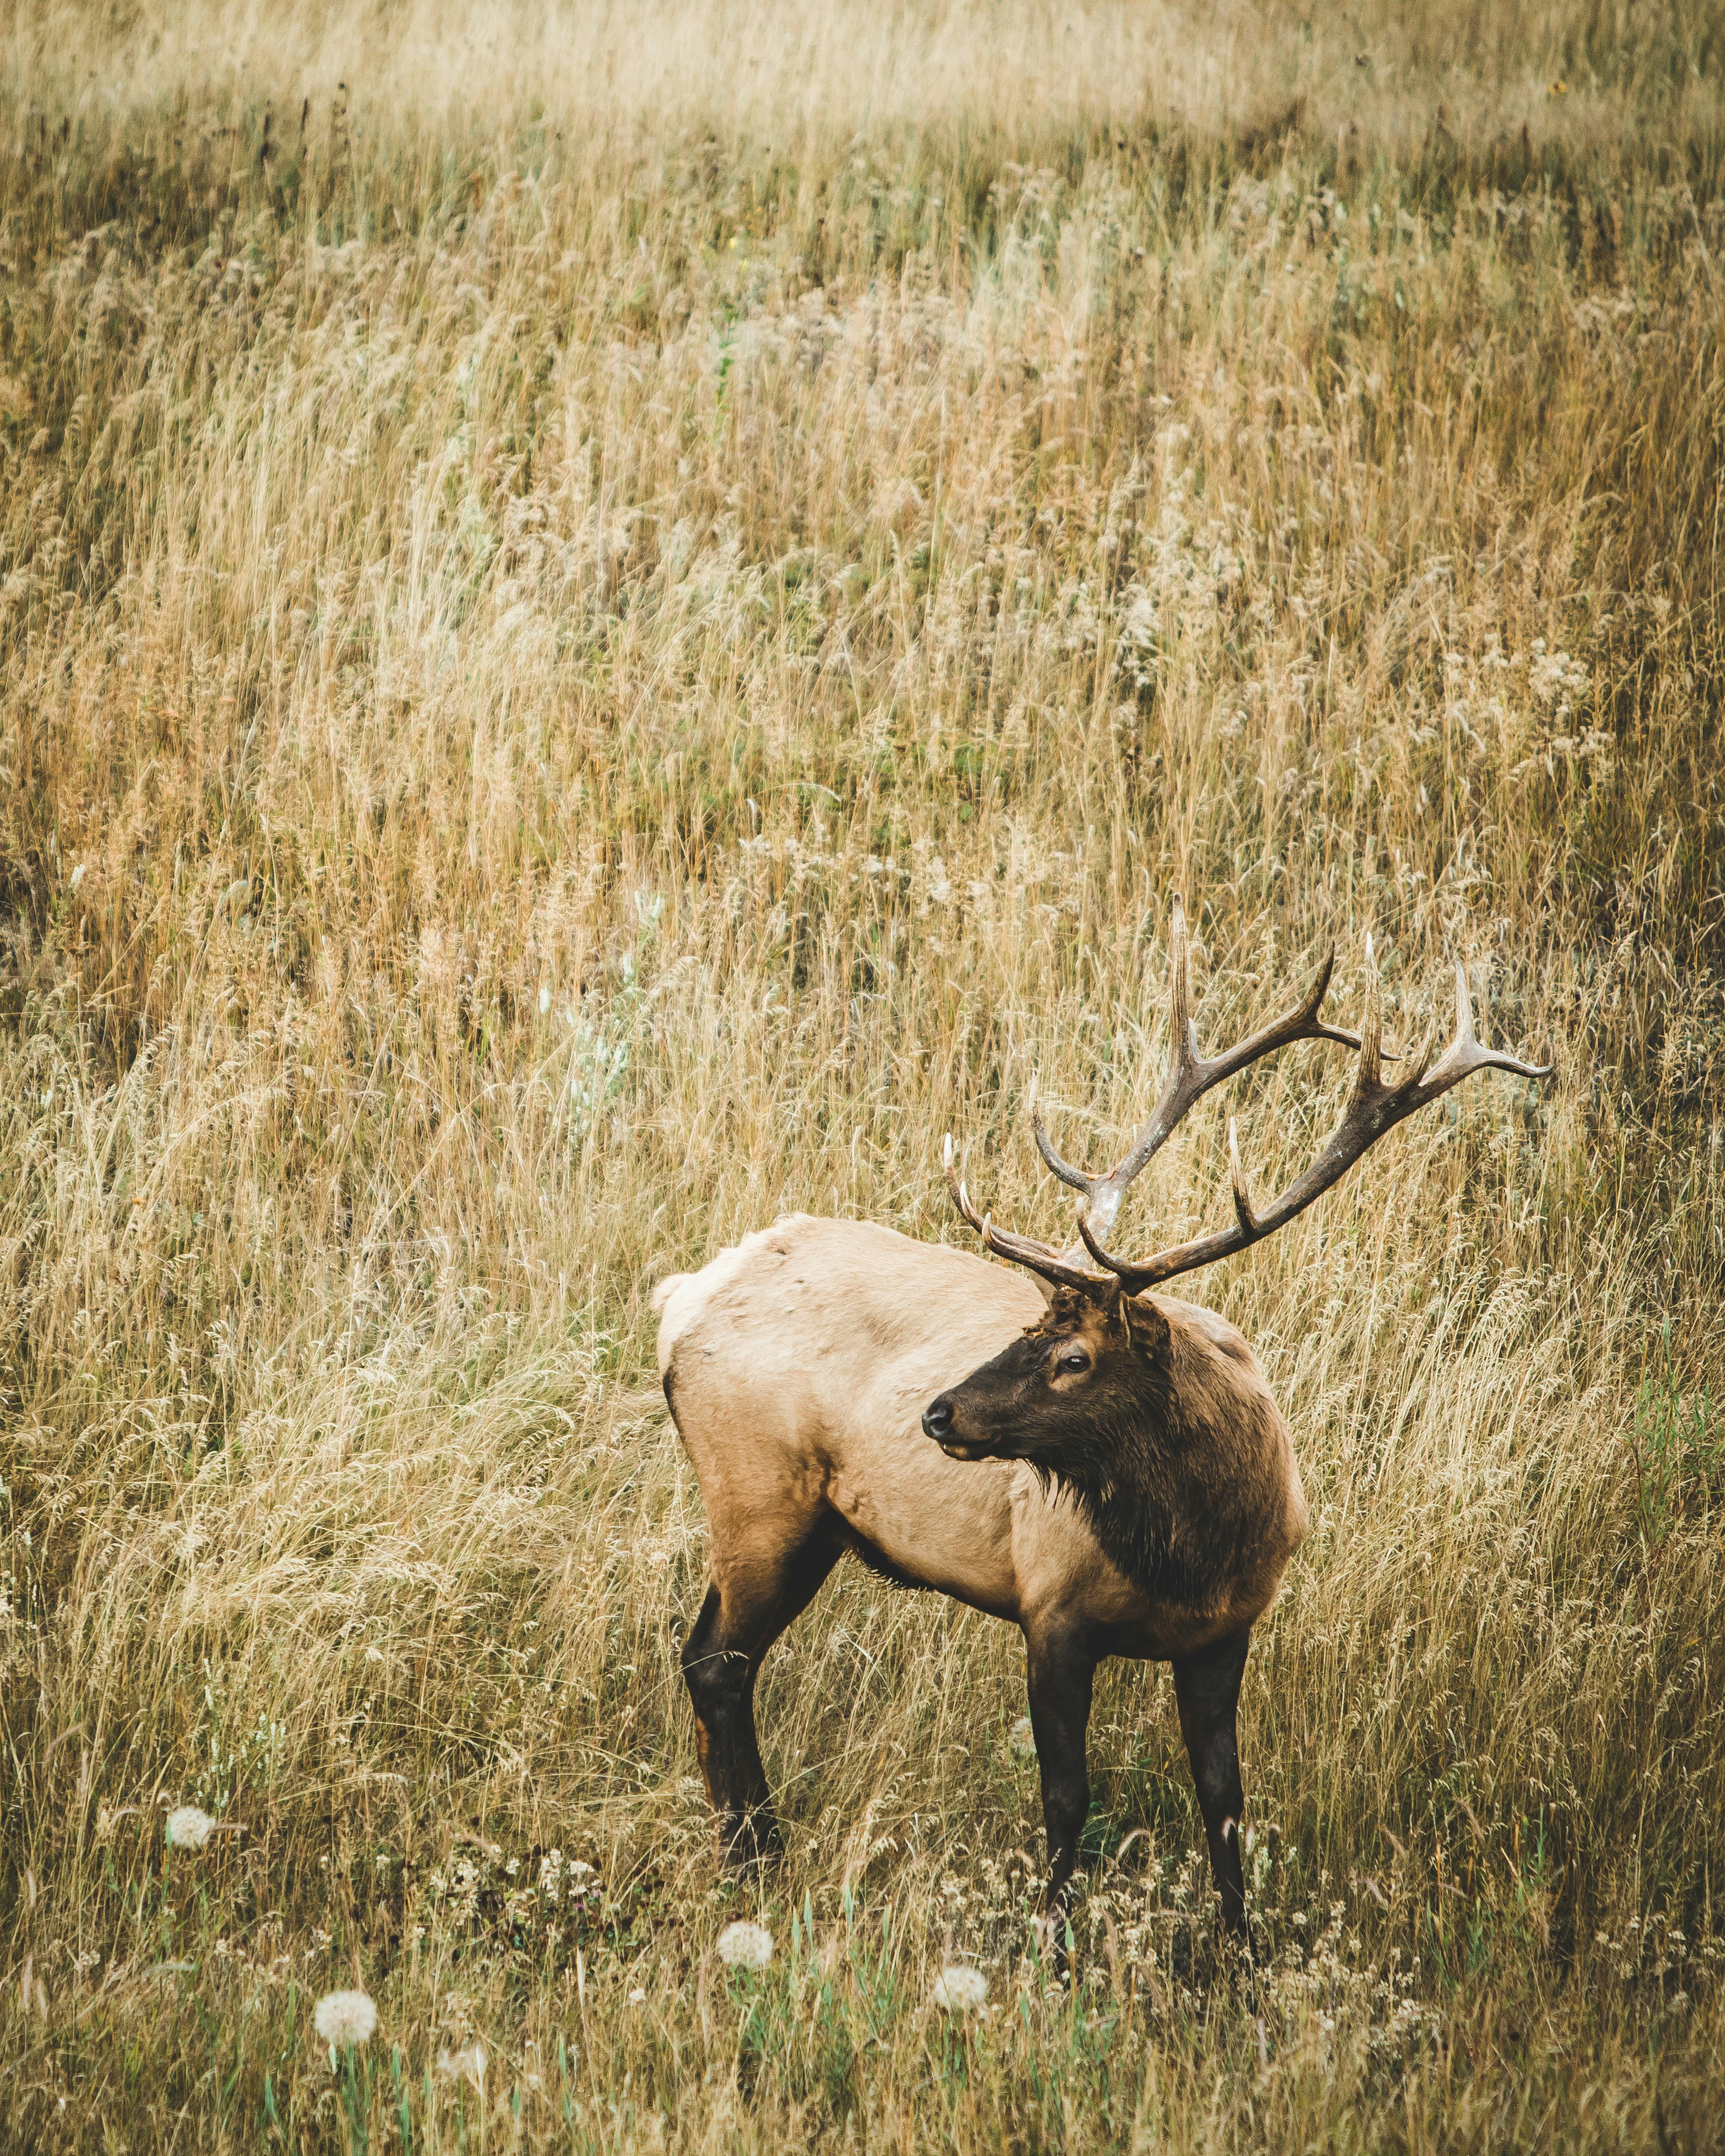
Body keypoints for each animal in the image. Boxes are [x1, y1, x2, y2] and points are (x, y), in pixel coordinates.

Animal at [653, 901, 1550, 1945]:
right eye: (1031, 1327)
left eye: (1072, 1354)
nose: (938, 1411)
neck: (1190, 1551)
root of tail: (681, 1298)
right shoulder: (1050, 1605)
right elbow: (1064, 1798)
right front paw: (1058, 1950)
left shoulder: (1227, 1627)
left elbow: (1223, 1796)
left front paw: (1240, 1952)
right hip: (760, 1495)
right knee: (717, 1660)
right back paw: (753, 1856)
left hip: (805, 1519)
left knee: (716, 1657)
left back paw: (750, 1853)